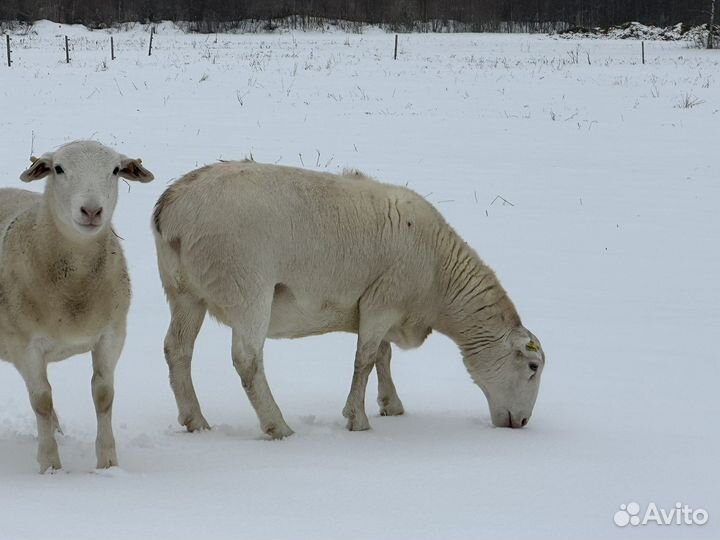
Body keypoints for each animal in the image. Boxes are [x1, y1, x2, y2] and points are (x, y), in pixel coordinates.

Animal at [2, 140, 153, 472]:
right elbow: (41, 400)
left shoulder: (112, 335)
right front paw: (50, 466)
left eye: (115, 170)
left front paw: (108, 463)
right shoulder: (25, 344)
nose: (92, 210)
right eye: (58, 169)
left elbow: (103, 394)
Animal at [152, 161, 544, 438]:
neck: (440, 281)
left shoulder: (379, 308)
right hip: (249, 288)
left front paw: (391, 405)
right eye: (532, 366)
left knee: (177, 350)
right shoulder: (382, 301)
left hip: (184, 292)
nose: (522, 422)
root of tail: (172, 208)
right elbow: (365, 360)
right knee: (246, 360)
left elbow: (383, 356)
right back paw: (278, 426)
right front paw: (357, 419)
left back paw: (195, 420)